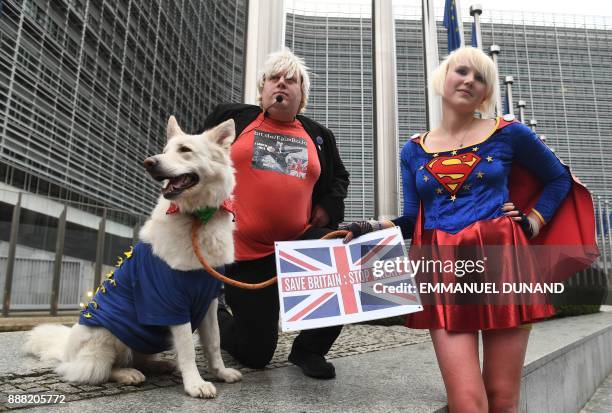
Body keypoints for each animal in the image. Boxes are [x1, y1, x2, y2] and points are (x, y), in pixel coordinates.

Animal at [25, 115, 243, 396]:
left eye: (185, 150)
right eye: (164, 150)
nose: (149, 162)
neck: (196, 220)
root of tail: (67, 352)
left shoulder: (209, 300)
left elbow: (214, 342)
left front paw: (221, 373)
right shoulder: (170, 301)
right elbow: (187, 350)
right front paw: (195, 384)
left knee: (138, 358)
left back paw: (160, 365)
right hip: (107, 333)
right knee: (96, 370)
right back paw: (128, 373)